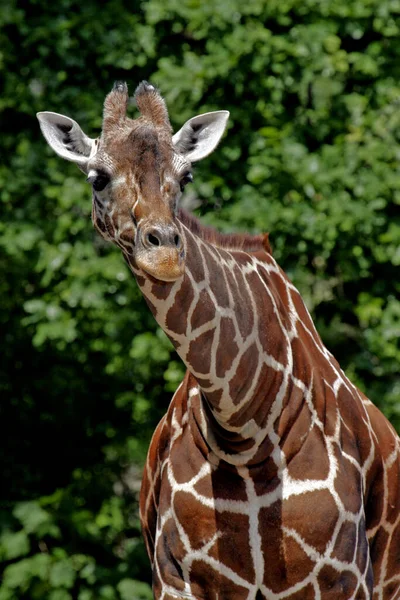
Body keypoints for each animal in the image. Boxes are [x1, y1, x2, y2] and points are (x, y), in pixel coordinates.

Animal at [38, 81, 400, 600]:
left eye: (185, 176)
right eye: (97, 178)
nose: (165, 254)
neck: (245, 426)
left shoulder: (344, 577)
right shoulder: (175, 577)